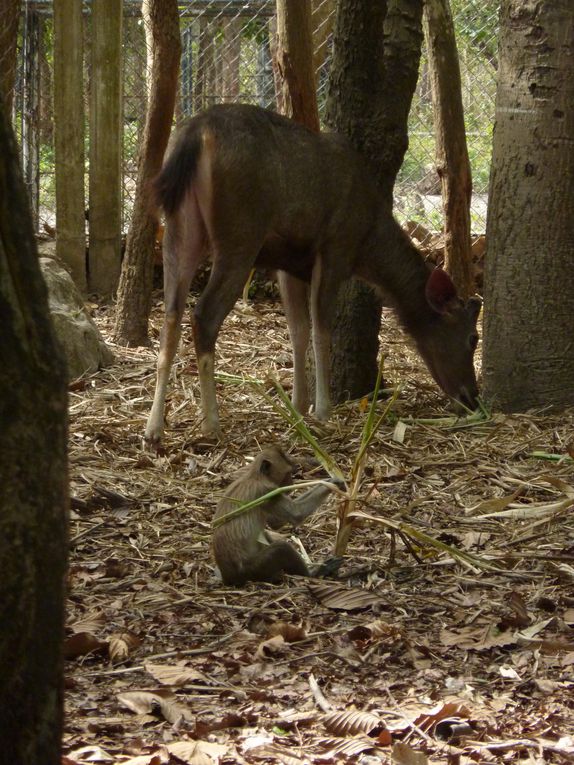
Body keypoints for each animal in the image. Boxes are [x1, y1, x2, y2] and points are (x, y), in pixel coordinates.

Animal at [145, 106, 482, 442]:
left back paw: (154, 428)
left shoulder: (288, 263)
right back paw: (211, 423)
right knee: (203, 315)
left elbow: (298, 329)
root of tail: (195, 135)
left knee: (171, 315)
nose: (472, 398)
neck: (367, 242)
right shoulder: (335, 249)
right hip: (240, 233)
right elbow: (322, 330)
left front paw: (297, 405)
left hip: (180, 223)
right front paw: (322, 409)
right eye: (472, 338)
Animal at [215, 442, 342, 584]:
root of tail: (227, 577)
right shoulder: (266, 492)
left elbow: (276, 523)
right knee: (281, 548)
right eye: (288, 473)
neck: (255, 476)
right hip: (250, 571)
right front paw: (331, 484)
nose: (291, 482)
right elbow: (296, 514)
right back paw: (312, 573)